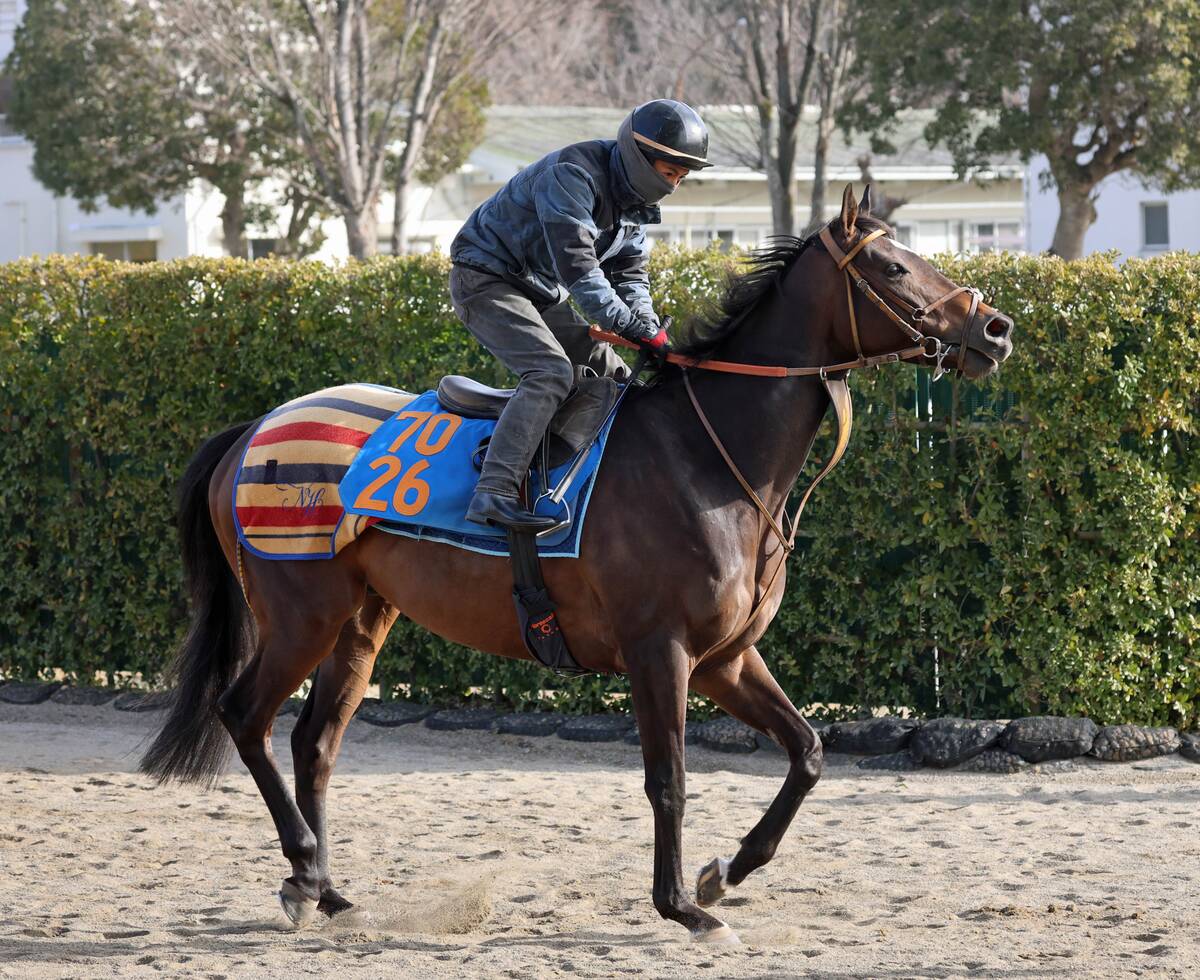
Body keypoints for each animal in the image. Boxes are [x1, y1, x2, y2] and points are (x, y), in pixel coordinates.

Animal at [141, 186, 1014, 943]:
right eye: (893, 267)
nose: (997, 328)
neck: (708, 456)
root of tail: (255, 427)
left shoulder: (727, 657)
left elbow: (808, 752)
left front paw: (721, 876)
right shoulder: (660, 650)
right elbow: (669, 778)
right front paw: (681, 908)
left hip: (362, 618)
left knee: (315, 743)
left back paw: (326, 890)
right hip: (301, 614)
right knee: (244, 715)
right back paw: (303, 868)